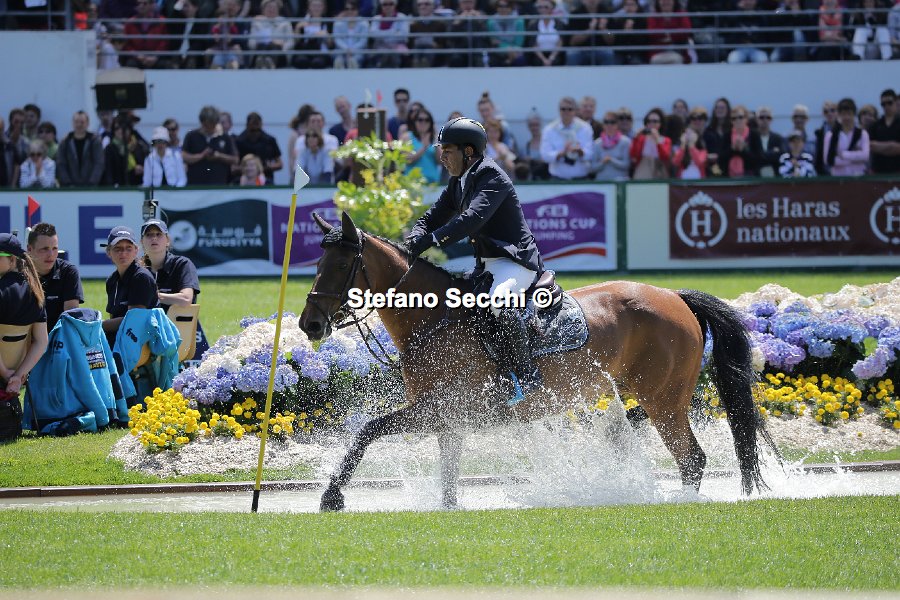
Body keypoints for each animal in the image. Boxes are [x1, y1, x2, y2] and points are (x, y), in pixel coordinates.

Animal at [300, 212, 774, 512]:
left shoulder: (439, 407)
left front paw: (331, 497)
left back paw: (678, 504)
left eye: (340, 264)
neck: (433, 317)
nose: (310, 323)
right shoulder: (446, 416)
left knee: (691, 458)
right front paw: (448, 509)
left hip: (665, 401)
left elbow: (368, 430)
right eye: (318, 261)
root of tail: (675, 295)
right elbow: (447, 471)